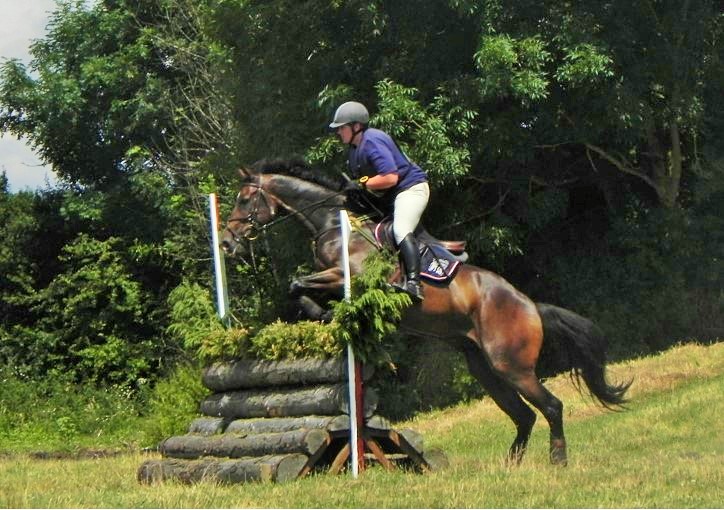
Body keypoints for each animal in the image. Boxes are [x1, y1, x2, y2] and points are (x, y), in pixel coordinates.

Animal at [219, 159, 628, 466]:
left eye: (244, 200)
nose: (226, 243)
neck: (334, 225)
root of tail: (530, 305)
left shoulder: (351, 277)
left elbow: (297, 283)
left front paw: (323, 314)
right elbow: (300, 286)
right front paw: (326, 315)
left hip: (511, 364)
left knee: (551, 406)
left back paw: (557, 459)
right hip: (483, 367)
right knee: (524, 414)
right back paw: (510, 464)